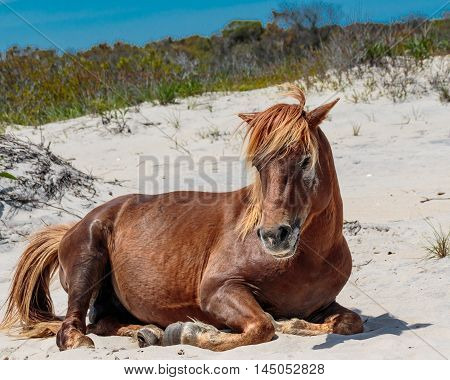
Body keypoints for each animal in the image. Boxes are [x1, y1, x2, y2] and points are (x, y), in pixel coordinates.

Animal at [0, 86, 362, 350]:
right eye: (259, 165)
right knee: (72, 329)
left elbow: (350, 322)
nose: (274, 235)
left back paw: (147, 332)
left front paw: (294, 323)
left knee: (103, 322)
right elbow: (262, 326)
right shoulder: (218, 289)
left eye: (305, 160)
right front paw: (190, 332)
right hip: (88, 257)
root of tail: (72, 228)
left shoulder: (324, 303)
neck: (306, 261)